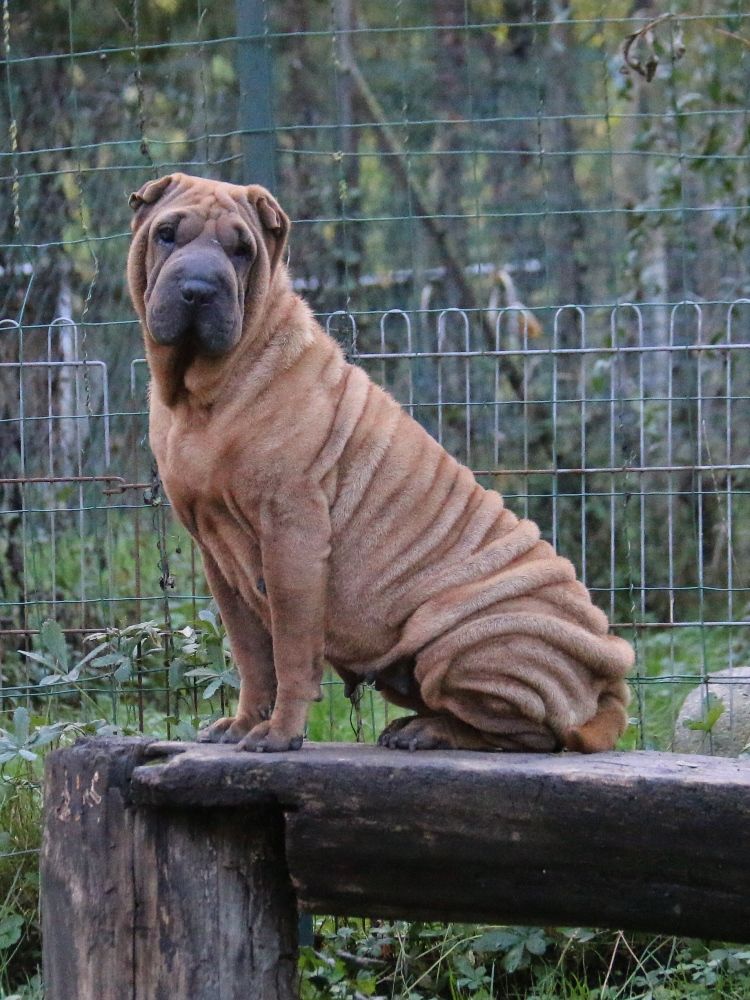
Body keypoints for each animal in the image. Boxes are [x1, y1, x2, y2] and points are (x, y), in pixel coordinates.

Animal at [129, 174, 636, 752]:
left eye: (241, 250)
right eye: (167, 234)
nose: (198, 289)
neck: (201, 394)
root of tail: (608, 681)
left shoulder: (292, 535)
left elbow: (291, 651)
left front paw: (279, 733)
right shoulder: (216, 554)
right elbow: (252, 654)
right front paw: (240, 724)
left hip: (461, 639)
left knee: (528, 735)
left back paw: (427, 731)